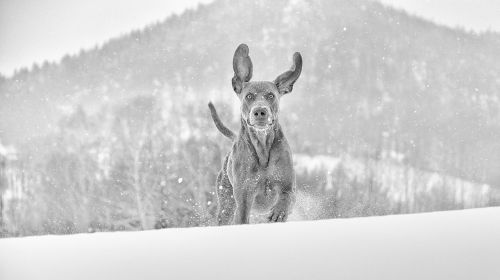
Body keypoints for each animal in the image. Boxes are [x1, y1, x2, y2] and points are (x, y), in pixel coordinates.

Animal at [207, 43, 300, 225]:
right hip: (226, 202)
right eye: (249, 96)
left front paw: (278, 212)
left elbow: (286, 198)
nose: (260, 111)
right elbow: (242, 217)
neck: (262, 147)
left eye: (271, 95)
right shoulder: (243, 198)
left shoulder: (287, 186)